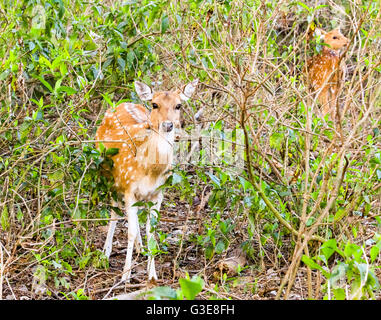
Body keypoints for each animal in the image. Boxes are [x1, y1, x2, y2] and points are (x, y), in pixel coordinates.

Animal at [95, 80, 197, 282]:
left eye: (178, 105)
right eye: (155, 104)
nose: (168, 124)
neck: (150, 169)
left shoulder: (158, 193)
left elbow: (151, 231)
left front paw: (152, 275)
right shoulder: (128, 188)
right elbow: (130, 231)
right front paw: (125, 276)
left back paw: (140, 248)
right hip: (109, 177)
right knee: (114, 213)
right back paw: (106, 253)